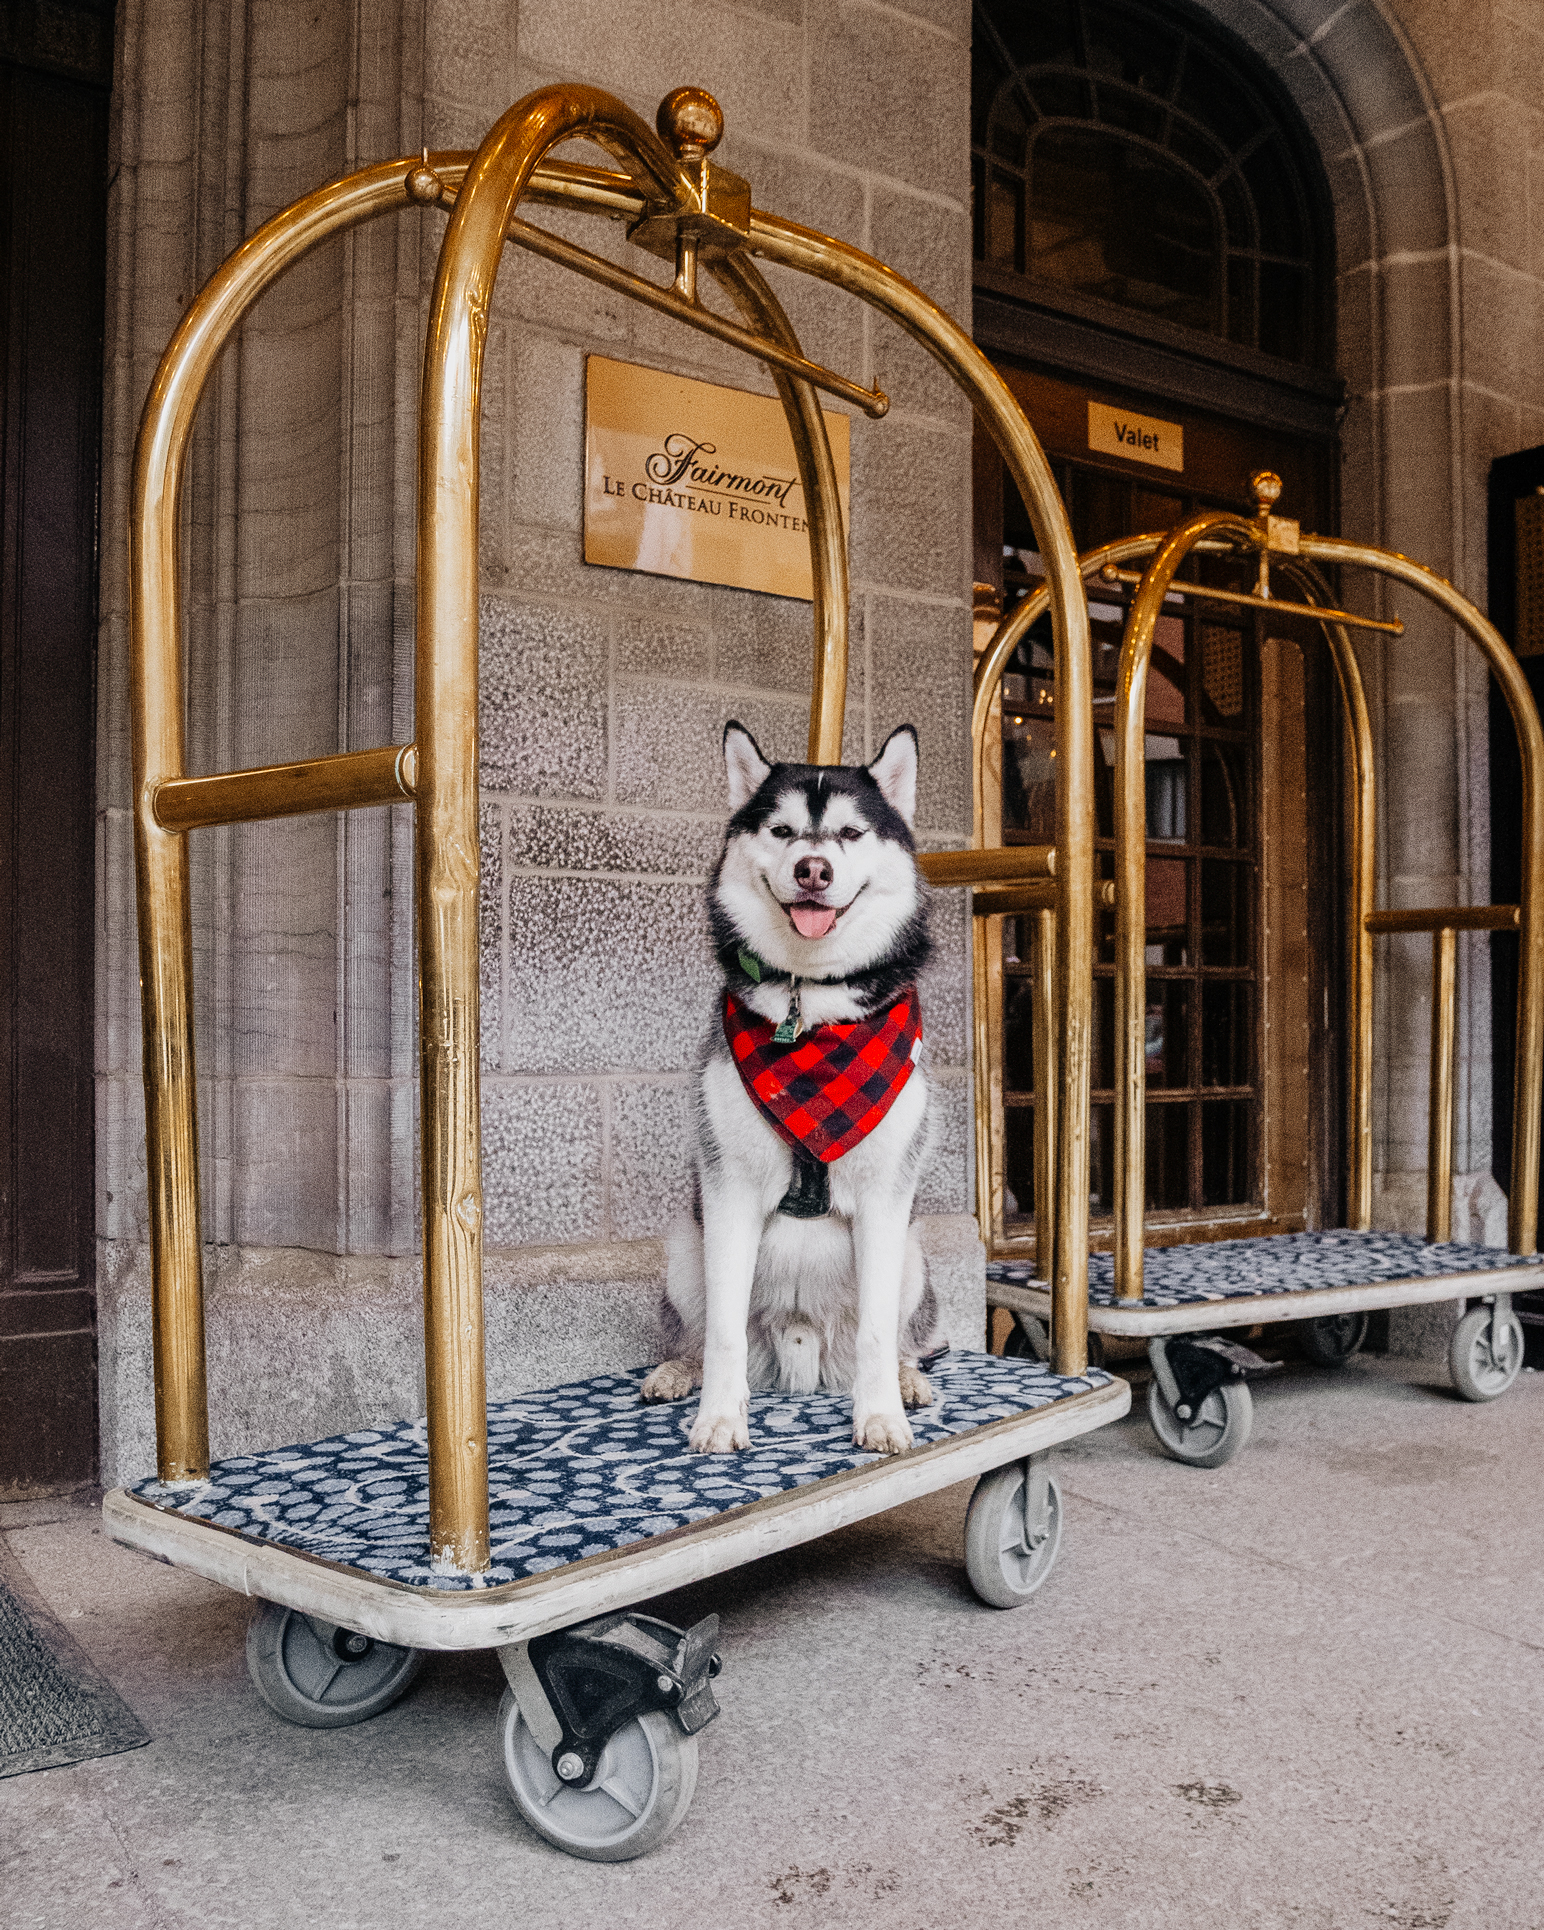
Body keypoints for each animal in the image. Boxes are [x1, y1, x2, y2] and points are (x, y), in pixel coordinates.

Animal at [640, 721, 941, 1451]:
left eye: (852, 833)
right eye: (781, 831)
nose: (813, 869)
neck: (811, 1004)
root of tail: (802, 1344)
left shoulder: (888, 1201)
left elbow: (877, 1332)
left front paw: (880, 1415)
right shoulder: (728, 1193)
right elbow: (721, 1333)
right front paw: (719, 1417)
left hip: (915, 1253)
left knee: (899, 1336)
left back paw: (909, 1378)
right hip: (684, 1248)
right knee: (697, 1332)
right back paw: (676, 1371)